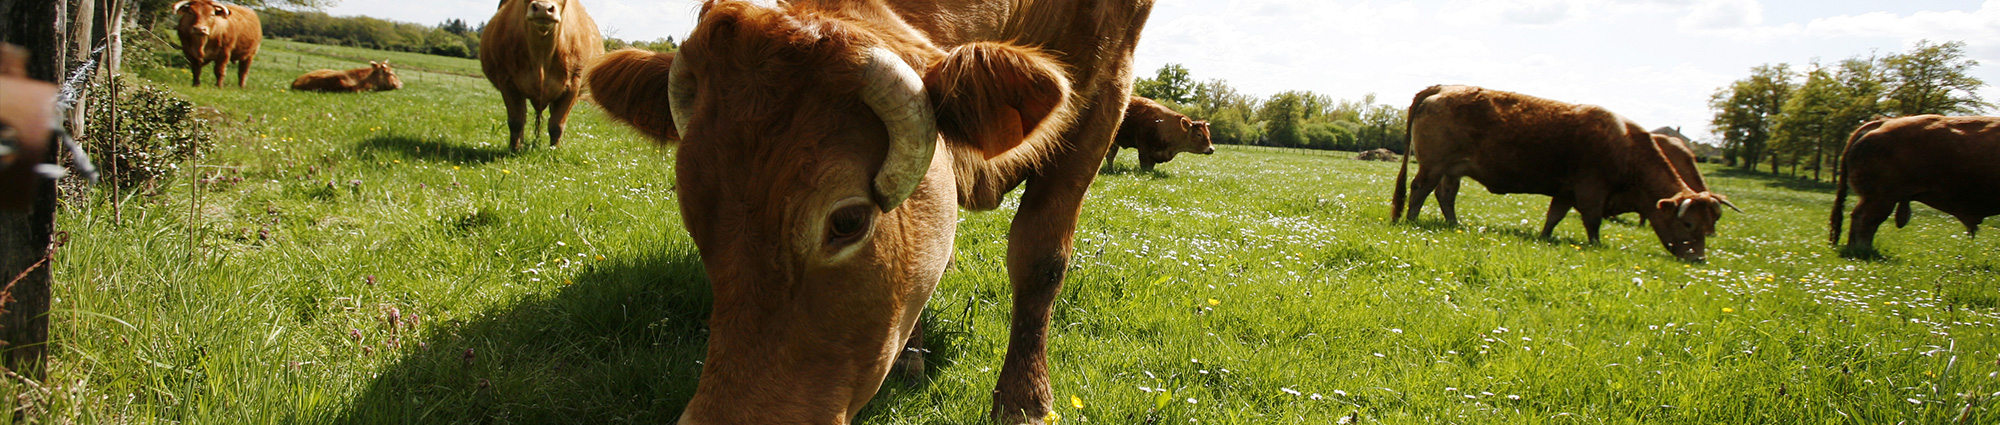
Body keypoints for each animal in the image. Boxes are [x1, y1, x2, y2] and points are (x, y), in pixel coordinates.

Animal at [482, 0, 604, 151]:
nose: (542, 8)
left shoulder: (573, 84)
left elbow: (557, 125)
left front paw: (554, 151)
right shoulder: (507, 81)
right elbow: (516, 121)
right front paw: (514, 149)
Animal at [588, 0, 1160, 424]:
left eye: (847, 221)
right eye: (692, 211)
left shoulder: (1108, 91)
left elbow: (1041, 260)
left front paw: (1024, 400)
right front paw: (911, 358)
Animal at [1392, 84, 1736, 260]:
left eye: (1711, 226)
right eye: (1688, 223)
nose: (1698, 258)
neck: (1625, 144)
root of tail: (1444, 87)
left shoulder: (1566, 191)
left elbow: (1553, 217)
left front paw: (1544, 238)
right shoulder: (1591, 188)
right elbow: (1593, 222)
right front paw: (1596, 246)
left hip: (1453, 169)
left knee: (1445, 195)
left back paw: (1454, 224)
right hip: (1434, 165)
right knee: (1420, 189)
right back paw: (1412, 220)